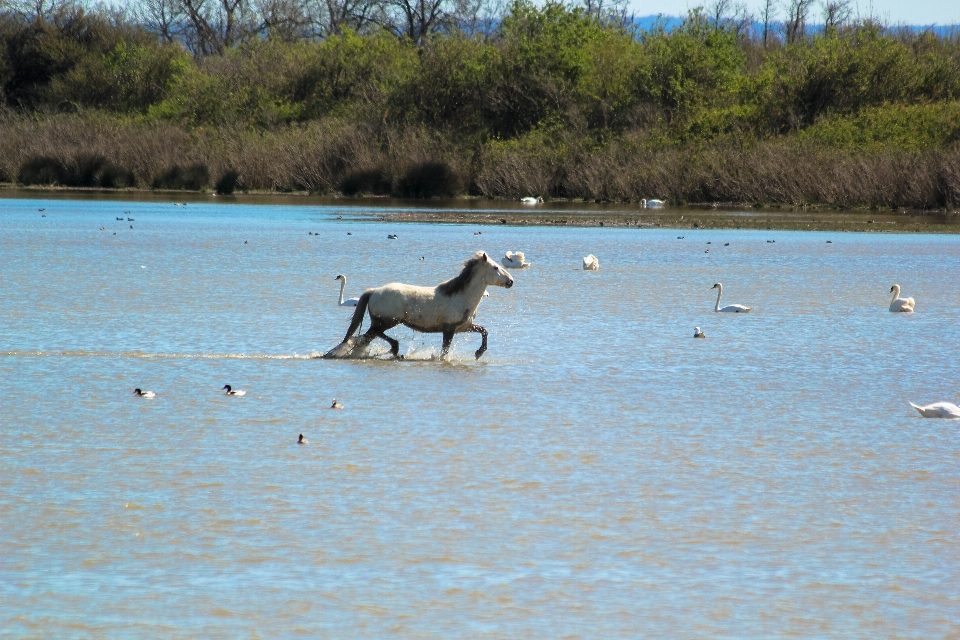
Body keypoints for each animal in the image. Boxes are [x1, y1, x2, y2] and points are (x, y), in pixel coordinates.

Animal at [324, 250, 516, 360]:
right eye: (495, 267)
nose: (511, 281)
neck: (461, 295)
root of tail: (374, 291)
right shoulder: (449, 329)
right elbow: (445, 351)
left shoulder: (463, 327)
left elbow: (484, 331)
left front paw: (479, 353)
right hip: (387, 321)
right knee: (367, 336)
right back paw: (393, 350)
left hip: (383, 322)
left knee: (366, 337)